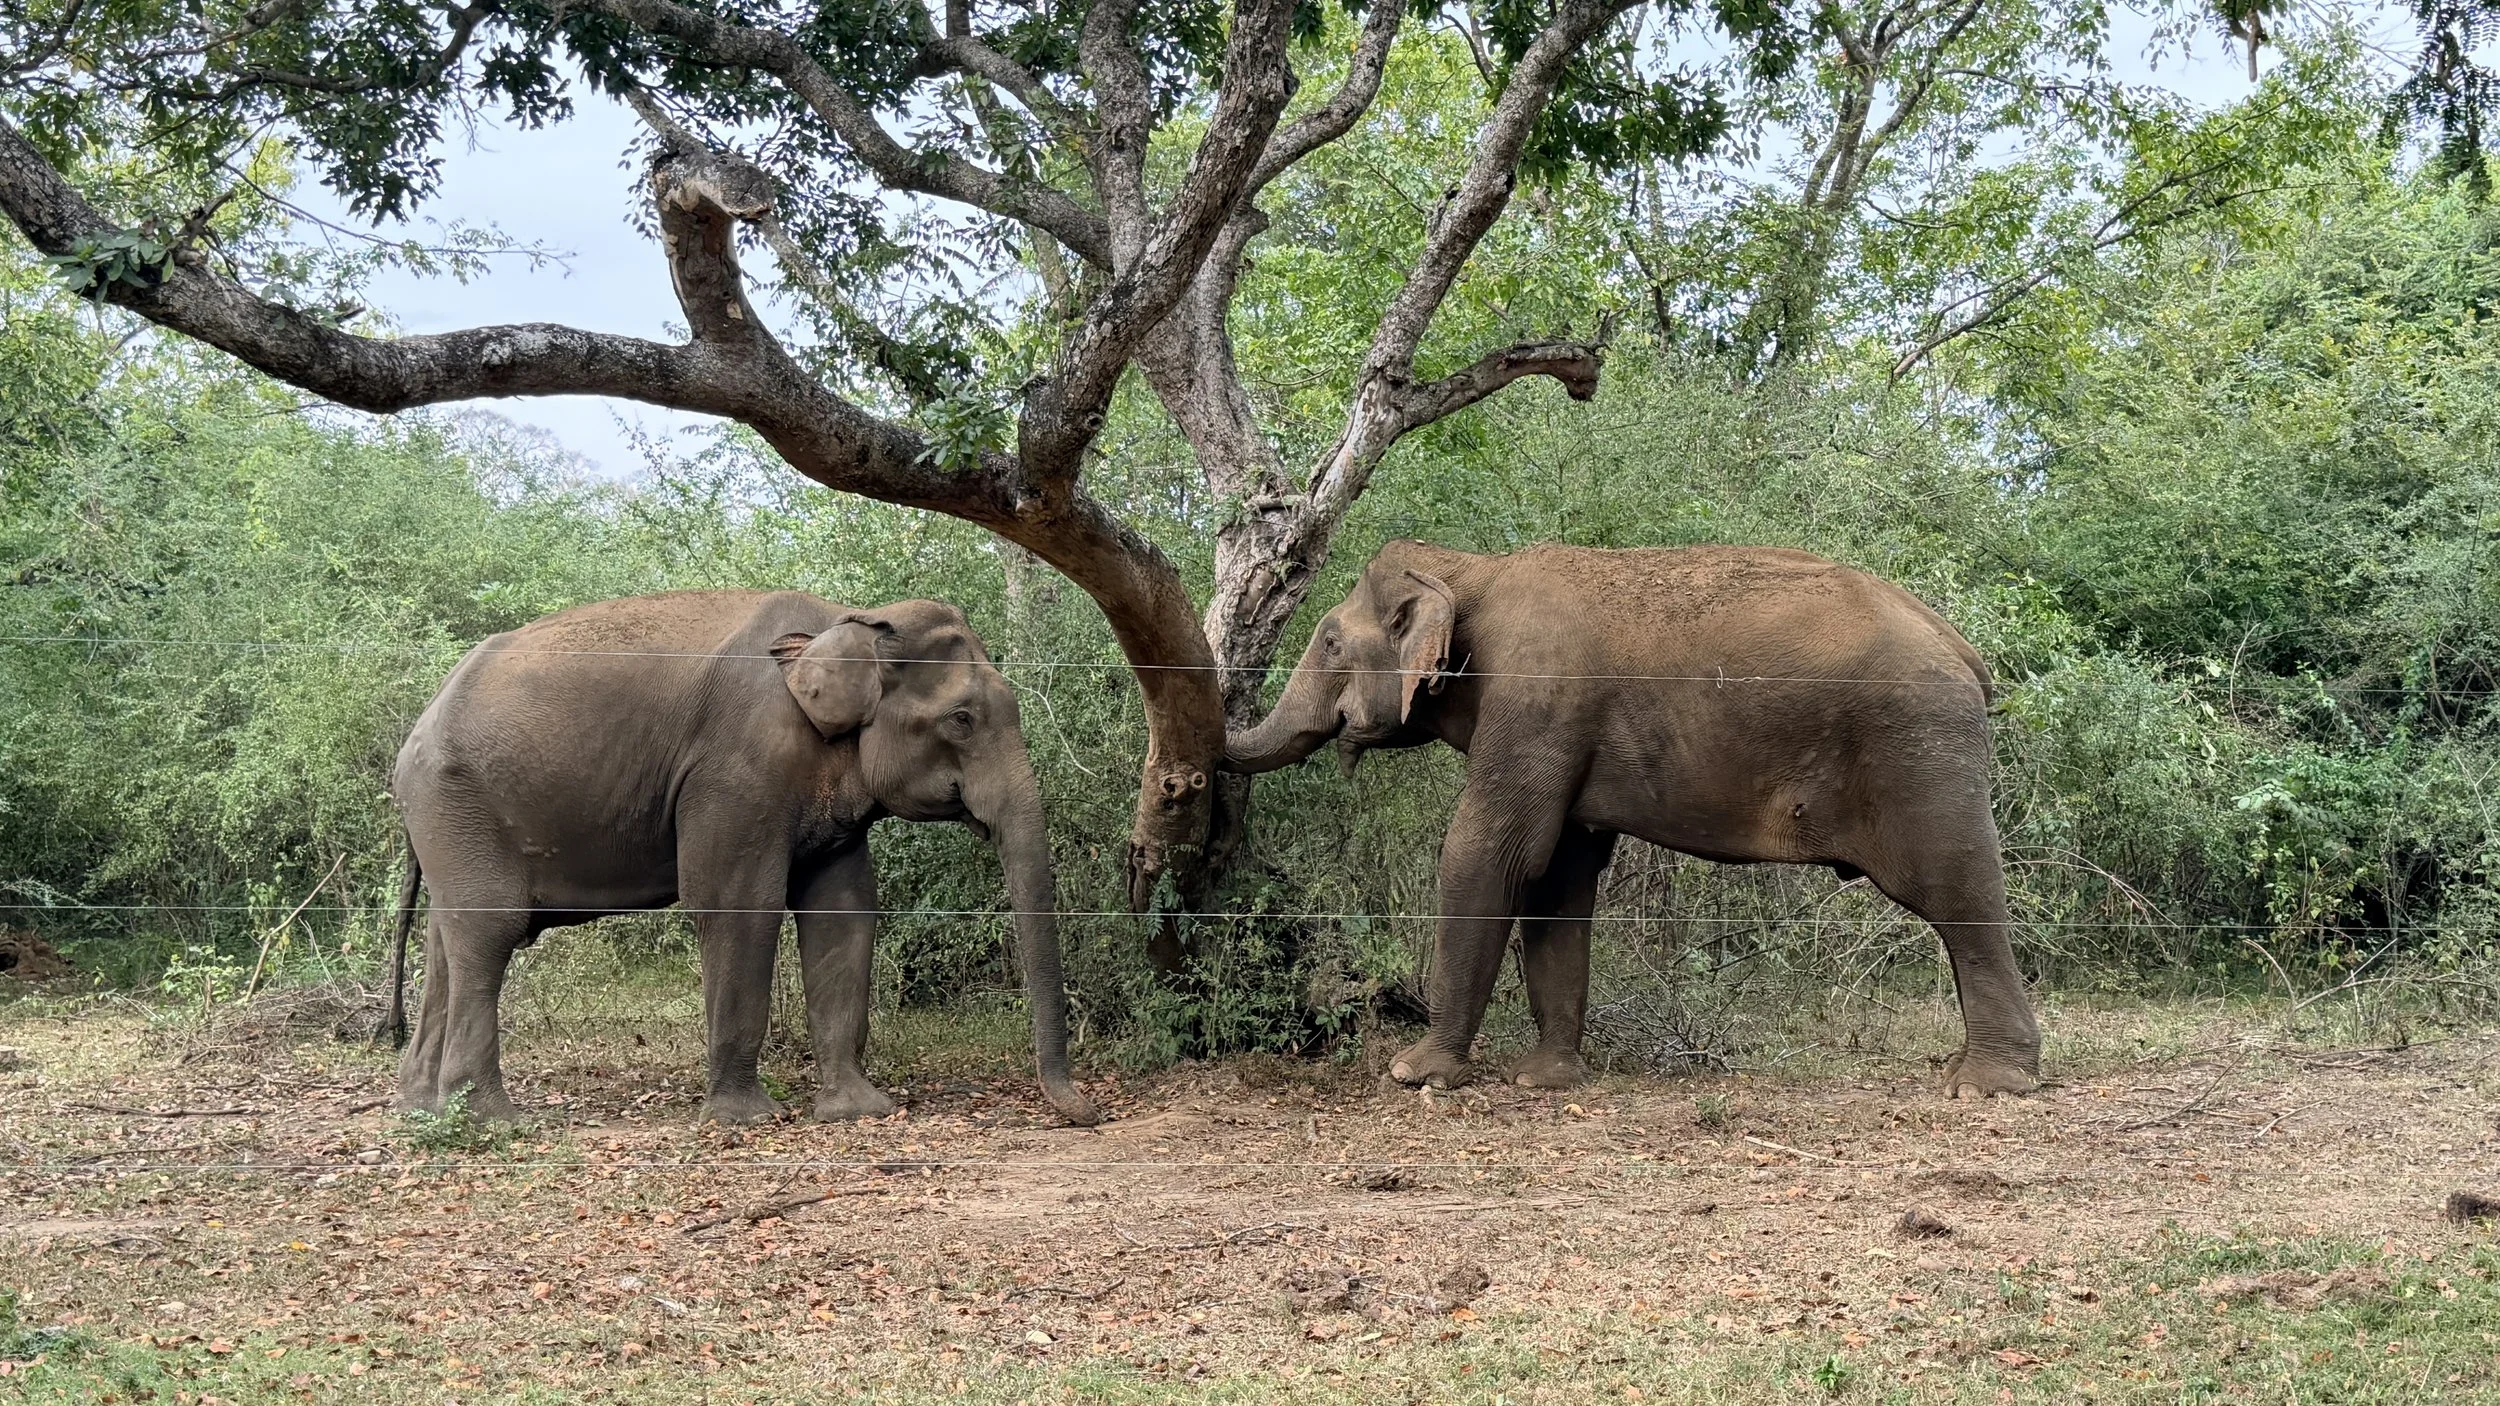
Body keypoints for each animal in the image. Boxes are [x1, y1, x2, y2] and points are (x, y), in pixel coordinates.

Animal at [385, 590, 1098, 1126]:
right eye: (961, 721)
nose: (1084, 1113)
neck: (850, 618)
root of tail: (419, 724)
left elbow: (842, 910)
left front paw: (858, 1112)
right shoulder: (736, 770)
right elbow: (737, 904)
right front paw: (746, 1120)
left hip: (448, 820)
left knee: (447, 941)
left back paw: (423, 1109)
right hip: (456, 803)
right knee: (491, 931)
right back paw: (494, 1122)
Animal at [1224, 540, 2038, 1100]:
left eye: (1330, 641)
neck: (1473, 572)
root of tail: (1966, 652)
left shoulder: (1535, 699)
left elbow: (1489, 853)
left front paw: (1417, 1074)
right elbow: (1558, 878)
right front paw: (1545, 1080)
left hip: (1921, 750)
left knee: (1958, 889)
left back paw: (1987, 1085)